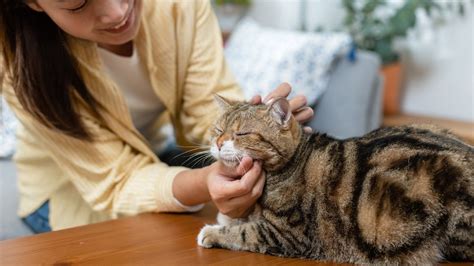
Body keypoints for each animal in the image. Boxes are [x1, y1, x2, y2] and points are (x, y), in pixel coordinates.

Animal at [197, 95, 474, 264]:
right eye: (218, 130)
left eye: (242, 133)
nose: (219, 143)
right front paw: (231, 217)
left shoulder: (288, 234)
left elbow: (245, 233)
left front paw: (213, 232)